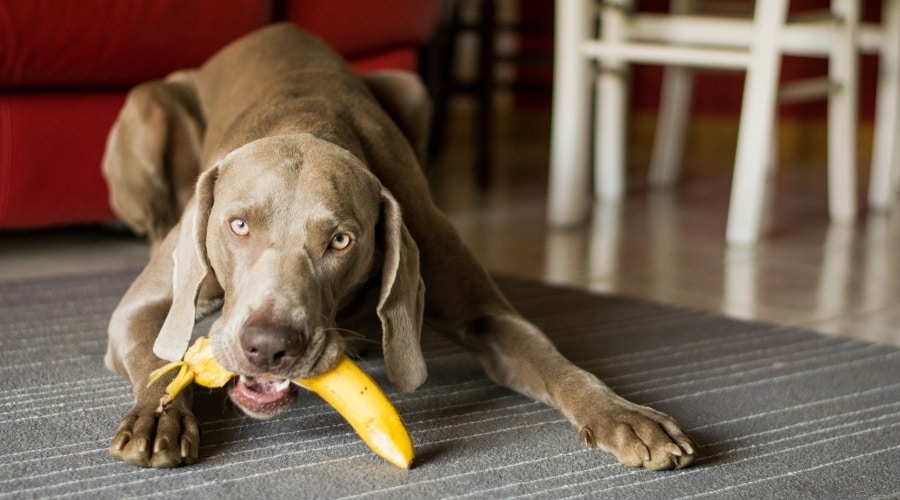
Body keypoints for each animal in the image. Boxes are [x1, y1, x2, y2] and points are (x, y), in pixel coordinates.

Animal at [100, 24, 696, 468]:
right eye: (239, 225)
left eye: (341, 240)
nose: (269, 346)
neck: (307, 122)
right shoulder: (142, 307)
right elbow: (156, 359)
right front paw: (158, 416)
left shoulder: (484, 310)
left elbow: (555, 362)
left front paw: (623, 415)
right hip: (148, 107)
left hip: (412, 86)